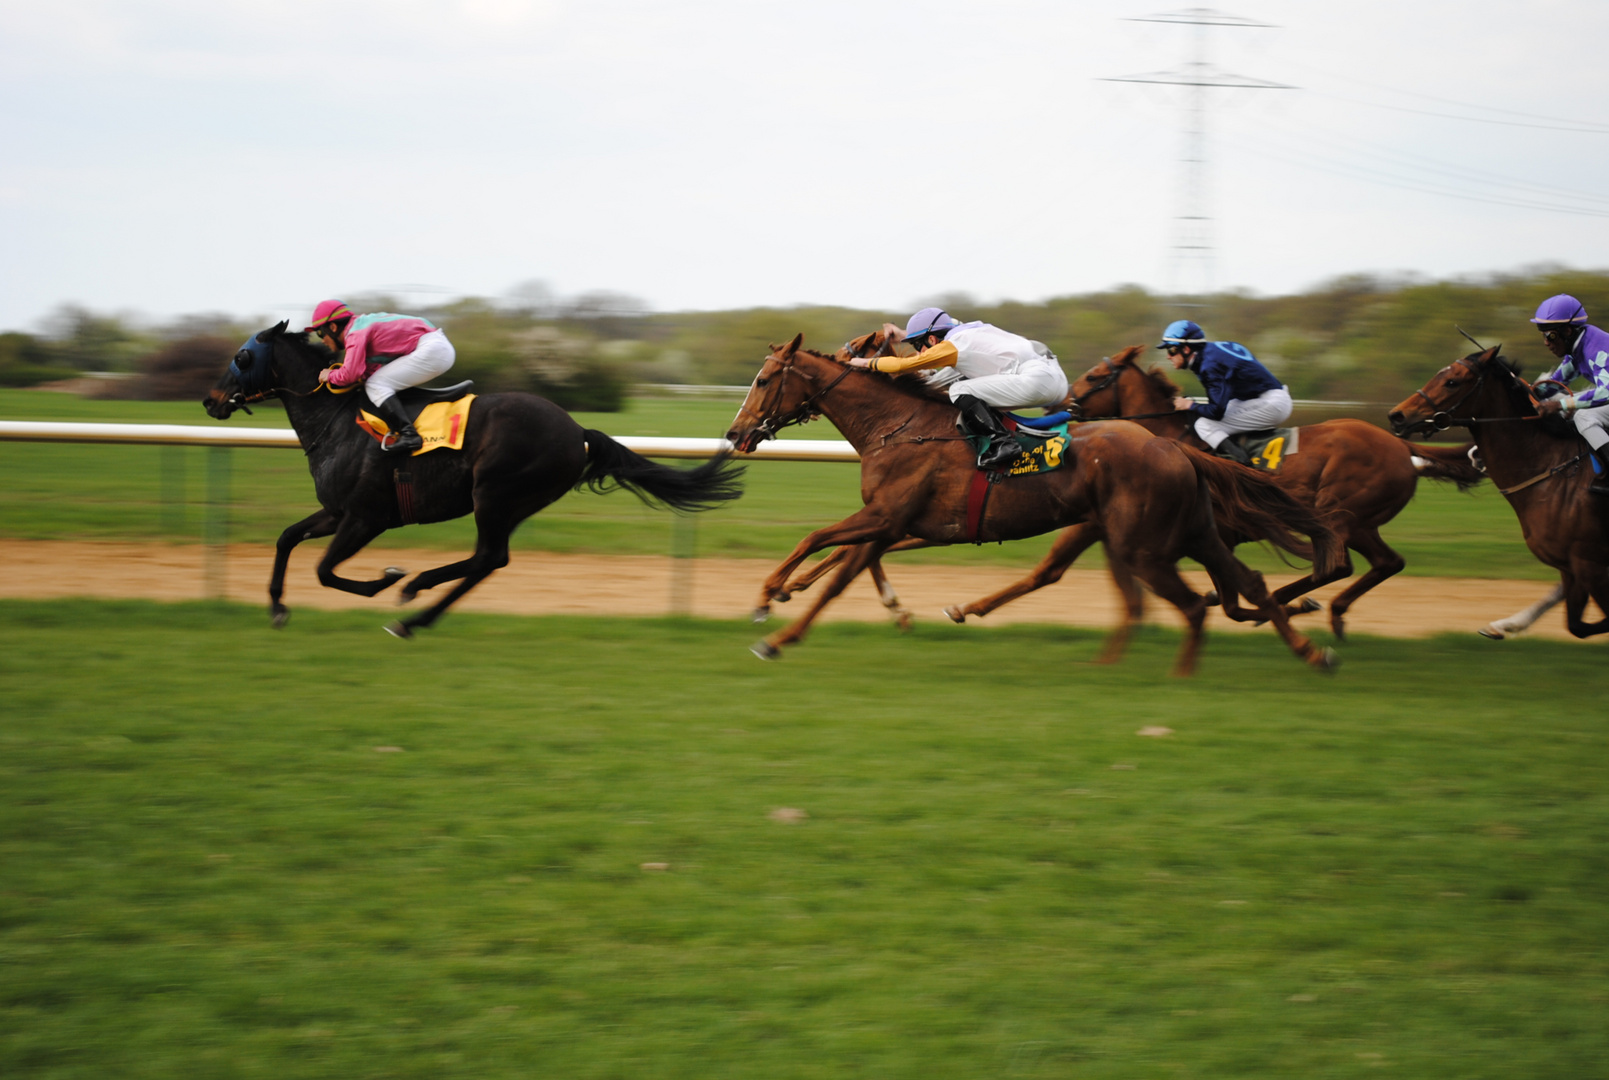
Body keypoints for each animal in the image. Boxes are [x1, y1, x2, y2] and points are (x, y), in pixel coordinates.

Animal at [199, 325, 740, 637]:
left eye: (241, 357)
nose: (210, 400)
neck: (337, 418)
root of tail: (576, 430)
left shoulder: (366, 517)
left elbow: (326, 571)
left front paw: (385, 579)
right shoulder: (336, 512)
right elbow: (287, 538)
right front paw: (276, 607)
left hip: (495, 493)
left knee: (487, 557)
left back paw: (412, 603)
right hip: (511, 502)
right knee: (489, 560)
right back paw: (417, 612)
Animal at [730, 338, 1345, 676]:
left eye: (763, 379)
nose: (736, 434)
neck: (899, 427)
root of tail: (1173, 447)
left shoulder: (884, 516)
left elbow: (814, 540)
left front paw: (767, 600)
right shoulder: (889, 524)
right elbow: (837, 575)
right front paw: (782, 629)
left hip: (1141, 544)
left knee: (1195, 603)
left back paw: (1181, 677)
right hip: (1189, 531)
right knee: (1249, 583)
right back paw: (1312, 651)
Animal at [1390, 344, 1602, 634]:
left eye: (1452, 382)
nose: (1397, 415)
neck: (1555, 469)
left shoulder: (1587, 562)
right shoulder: (1573, 564)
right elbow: (1576, 621)